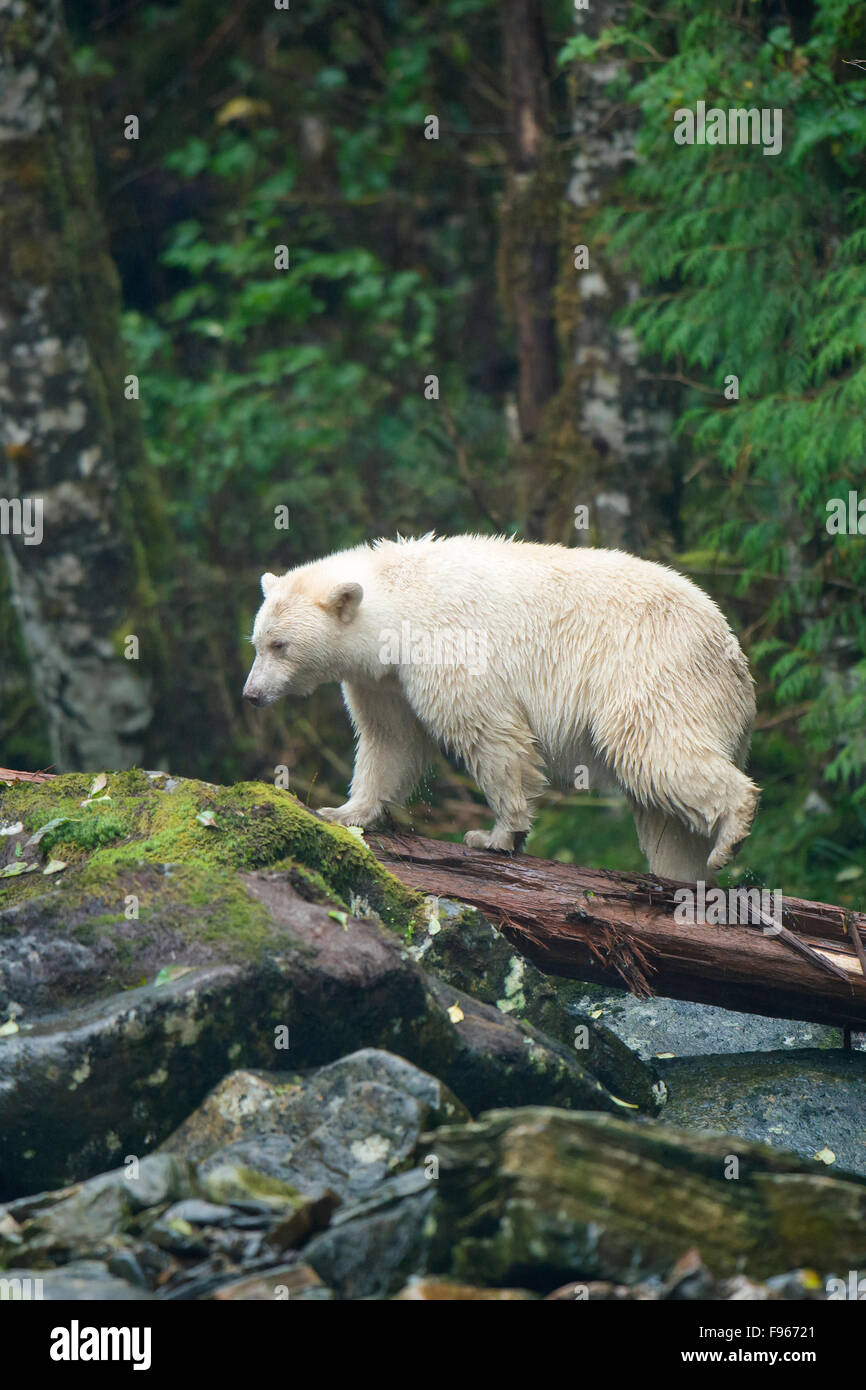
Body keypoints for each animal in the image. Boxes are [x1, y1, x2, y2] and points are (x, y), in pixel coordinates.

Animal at [244, 530, 756, 878]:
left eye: (280, 645)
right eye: (257, 641)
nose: (251, 694)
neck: (402, 601)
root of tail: (731, 647)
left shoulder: (449, 647)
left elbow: (490, 734)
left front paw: (496, 835)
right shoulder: (385, 681)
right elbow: (390, 741)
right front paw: (344, 812)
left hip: (652, 670)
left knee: (654, 748)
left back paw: (730, 837)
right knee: (661, 809)